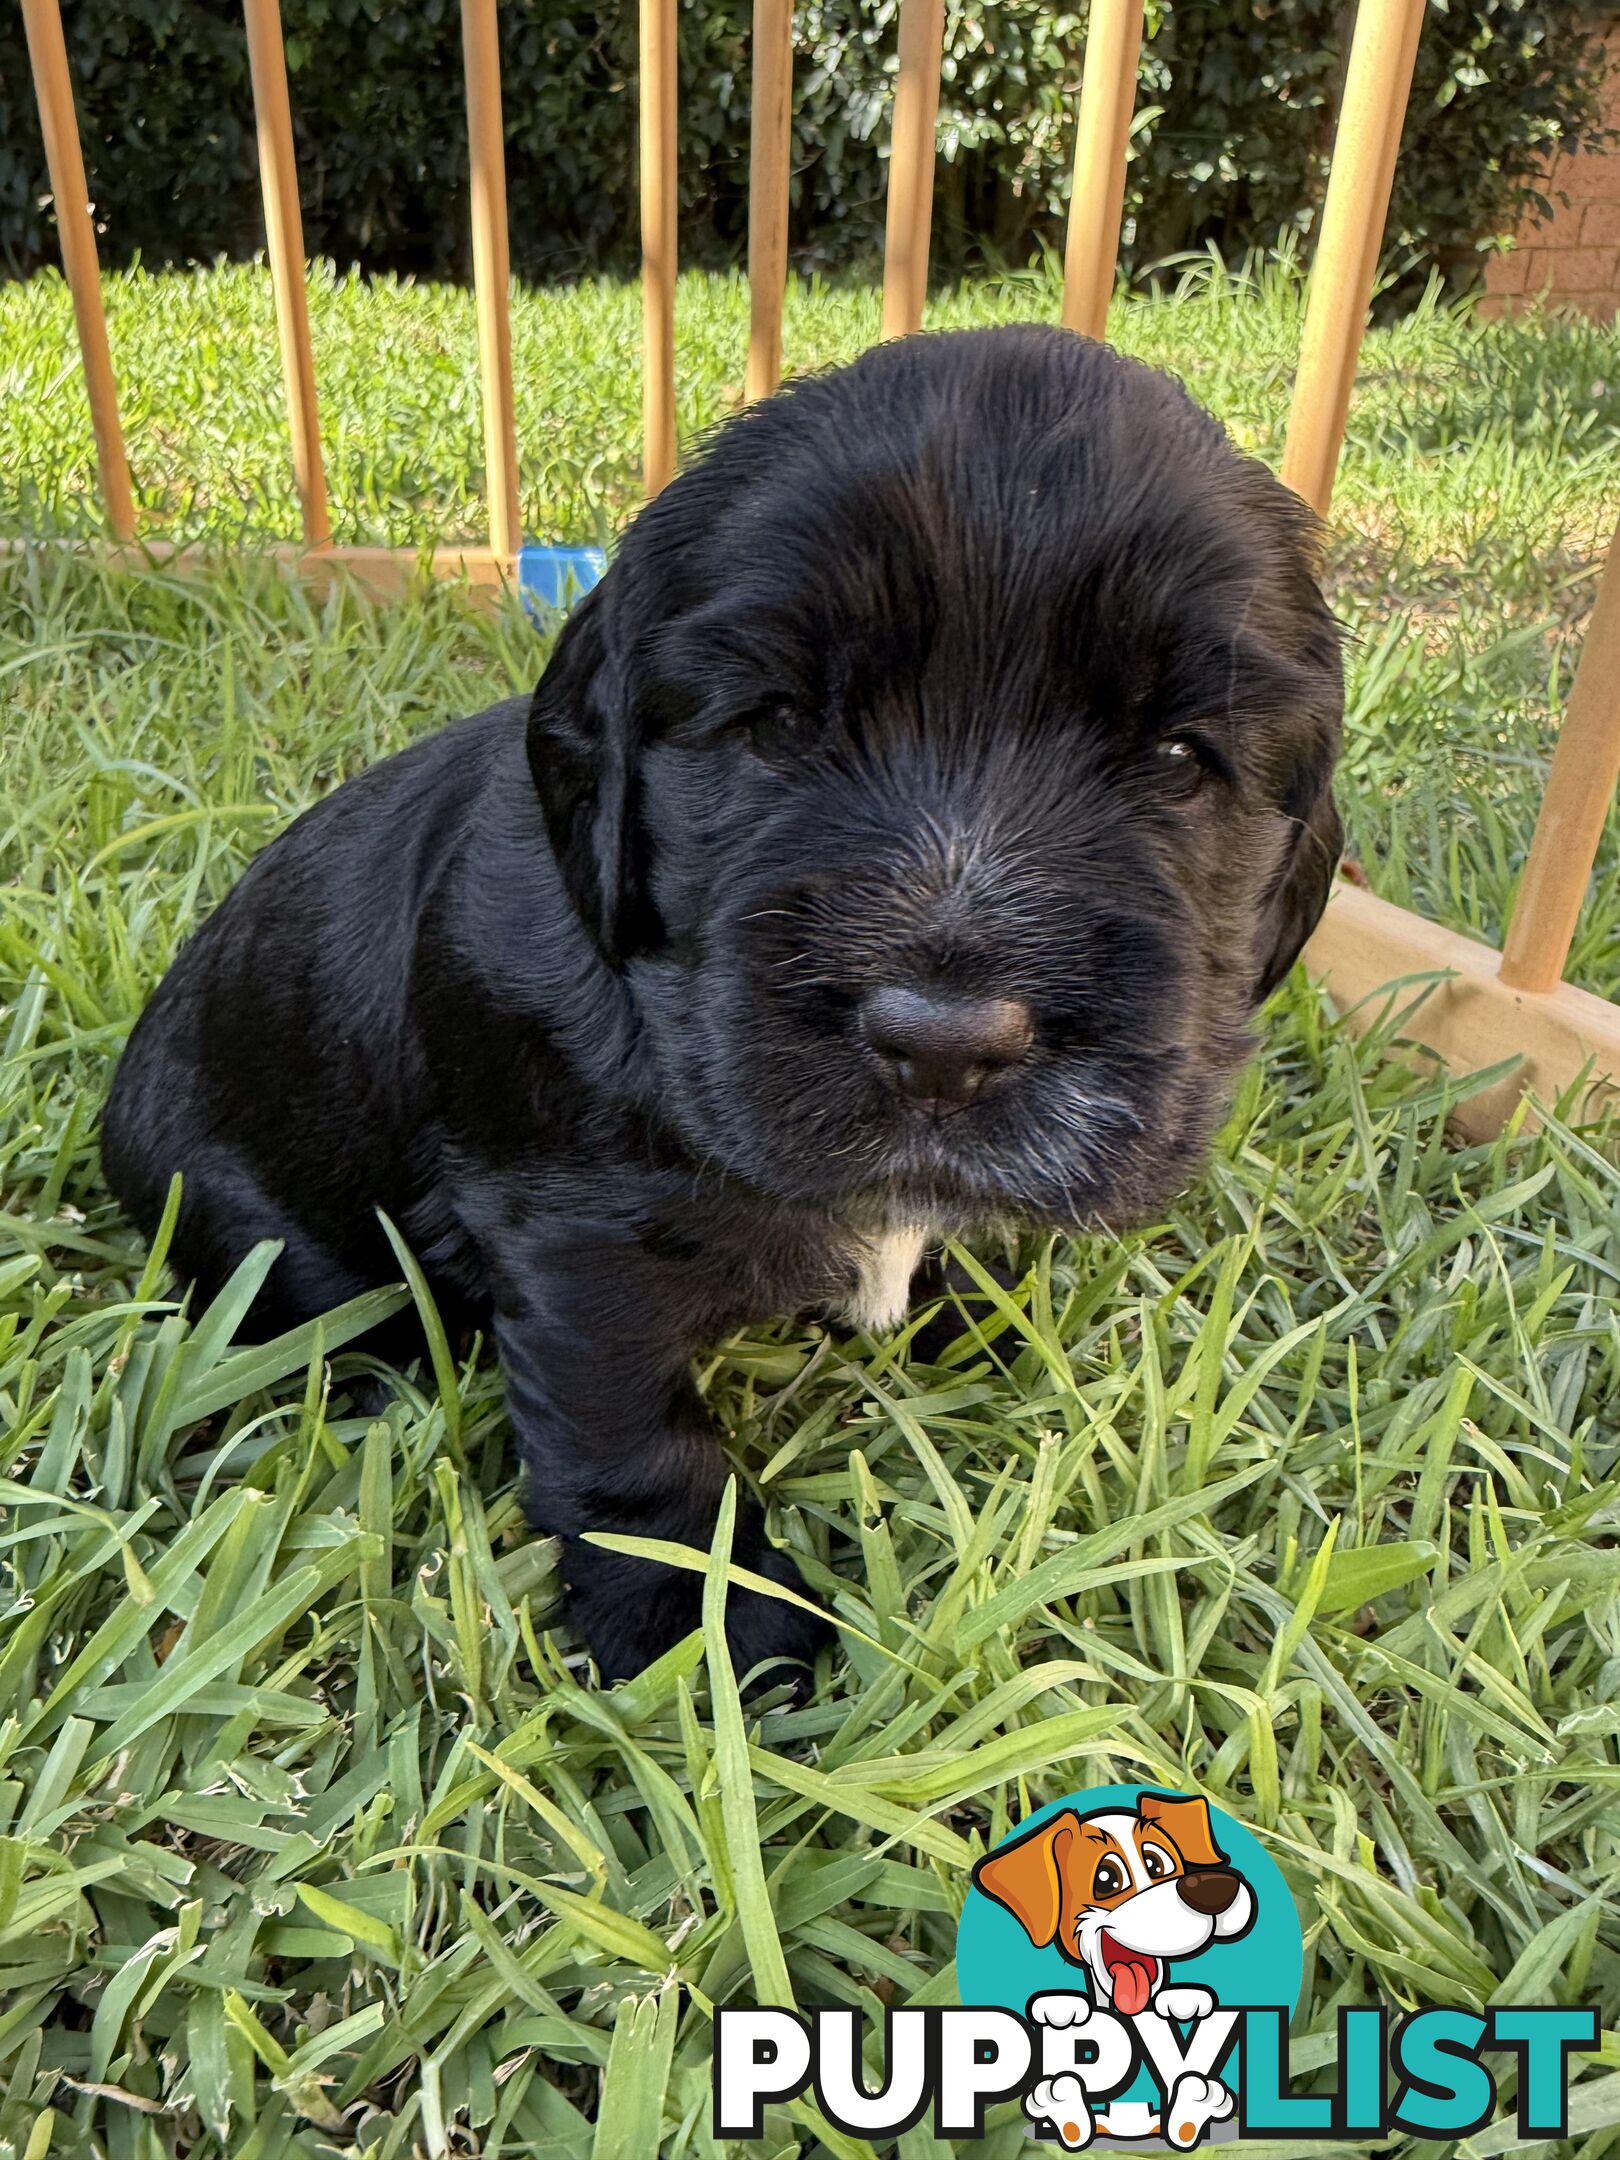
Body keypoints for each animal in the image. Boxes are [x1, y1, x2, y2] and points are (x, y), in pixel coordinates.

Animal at [101, 328, 1347, 1684]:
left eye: (1179, 759)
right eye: (779, 725)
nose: (945, 1046)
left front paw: (980, 1319)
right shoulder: (574, 1238)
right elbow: (635, 1444)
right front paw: (709, 1630)